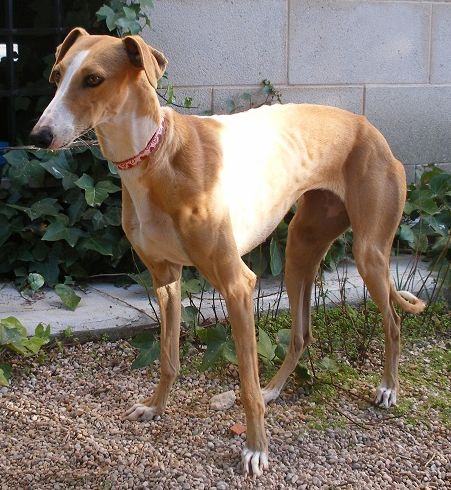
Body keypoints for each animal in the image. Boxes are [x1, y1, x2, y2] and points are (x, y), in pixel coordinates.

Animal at [30, 28, 426, 476]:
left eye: (93, 79)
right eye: (57, 75)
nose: (38, 137)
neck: (155, 156)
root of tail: (368, 126)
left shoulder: (238, 284)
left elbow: (245, 380)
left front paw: (256, 449)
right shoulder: (165, 279)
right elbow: (168, 358)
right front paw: (155, 407)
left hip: (368, 252)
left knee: (393, 320)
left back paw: (387, 388)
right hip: (299, 249)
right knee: (301, 334)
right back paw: (274, 391)